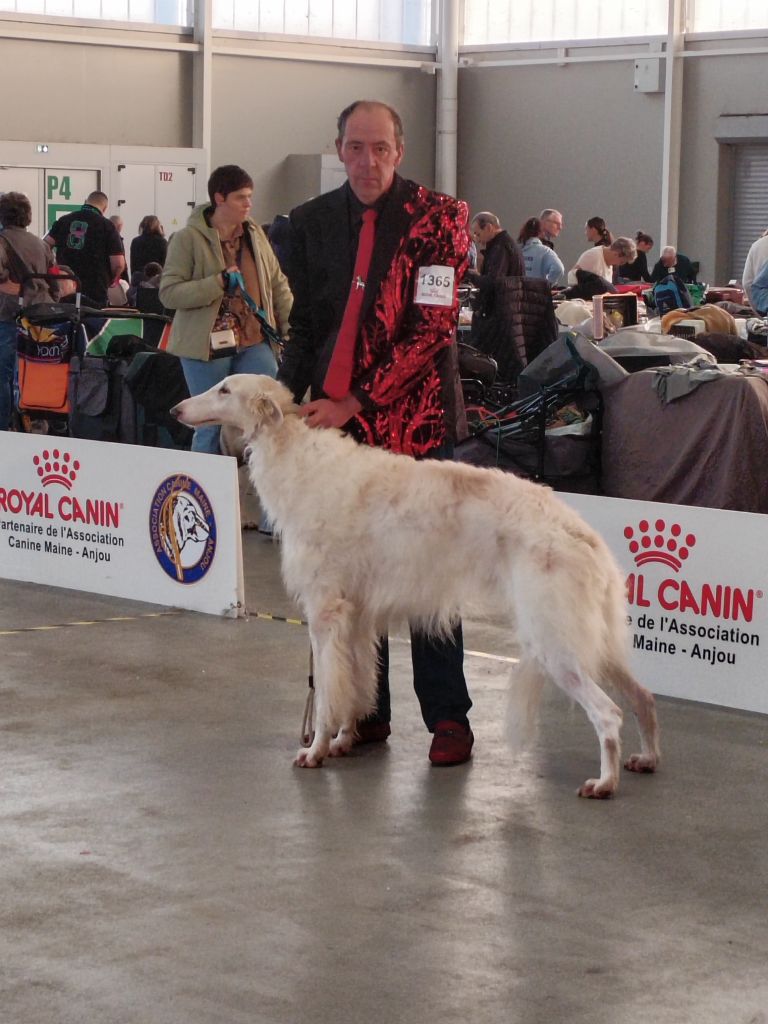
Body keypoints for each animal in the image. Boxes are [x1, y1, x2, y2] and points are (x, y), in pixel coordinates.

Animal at [173, 372, 663, 794]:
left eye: (224, 389)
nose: (177, 409)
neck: (298, 457)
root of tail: (584, 535)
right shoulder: (358, 618)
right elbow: (358, 684)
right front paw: (345, 739)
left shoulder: (325, 611)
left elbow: (329, 691)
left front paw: (316, 749)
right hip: (593, 639)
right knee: (643, 698)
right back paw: (647, 758)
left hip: (554, 642)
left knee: (610, 714)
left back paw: (604, 782)